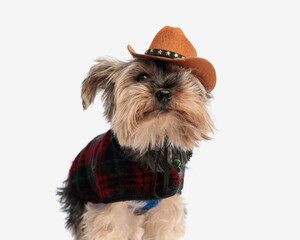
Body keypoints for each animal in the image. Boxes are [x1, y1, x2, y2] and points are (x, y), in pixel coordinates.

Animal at [58, 26, 216, 240]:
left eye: (180, 75)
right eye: (142, 77)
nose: (164, 93)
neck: (153, 139)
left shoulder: (167, 206)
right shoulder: (111, 207)